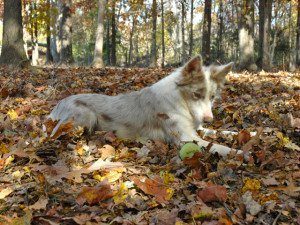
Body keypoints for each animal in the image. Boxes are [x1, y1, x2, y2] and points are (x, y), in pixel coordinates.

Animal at [45, 54, 241, 158]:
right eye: (196, 95)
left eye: (212, 97)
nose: (208, 119)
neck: (179, 100)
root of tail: (56, 107)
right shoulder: (184, 137)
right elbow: (221, 147)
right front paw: (240, 152)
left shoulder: (196, 128)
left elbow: (222, 132)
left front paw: (242, 135)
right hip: (86, 116)